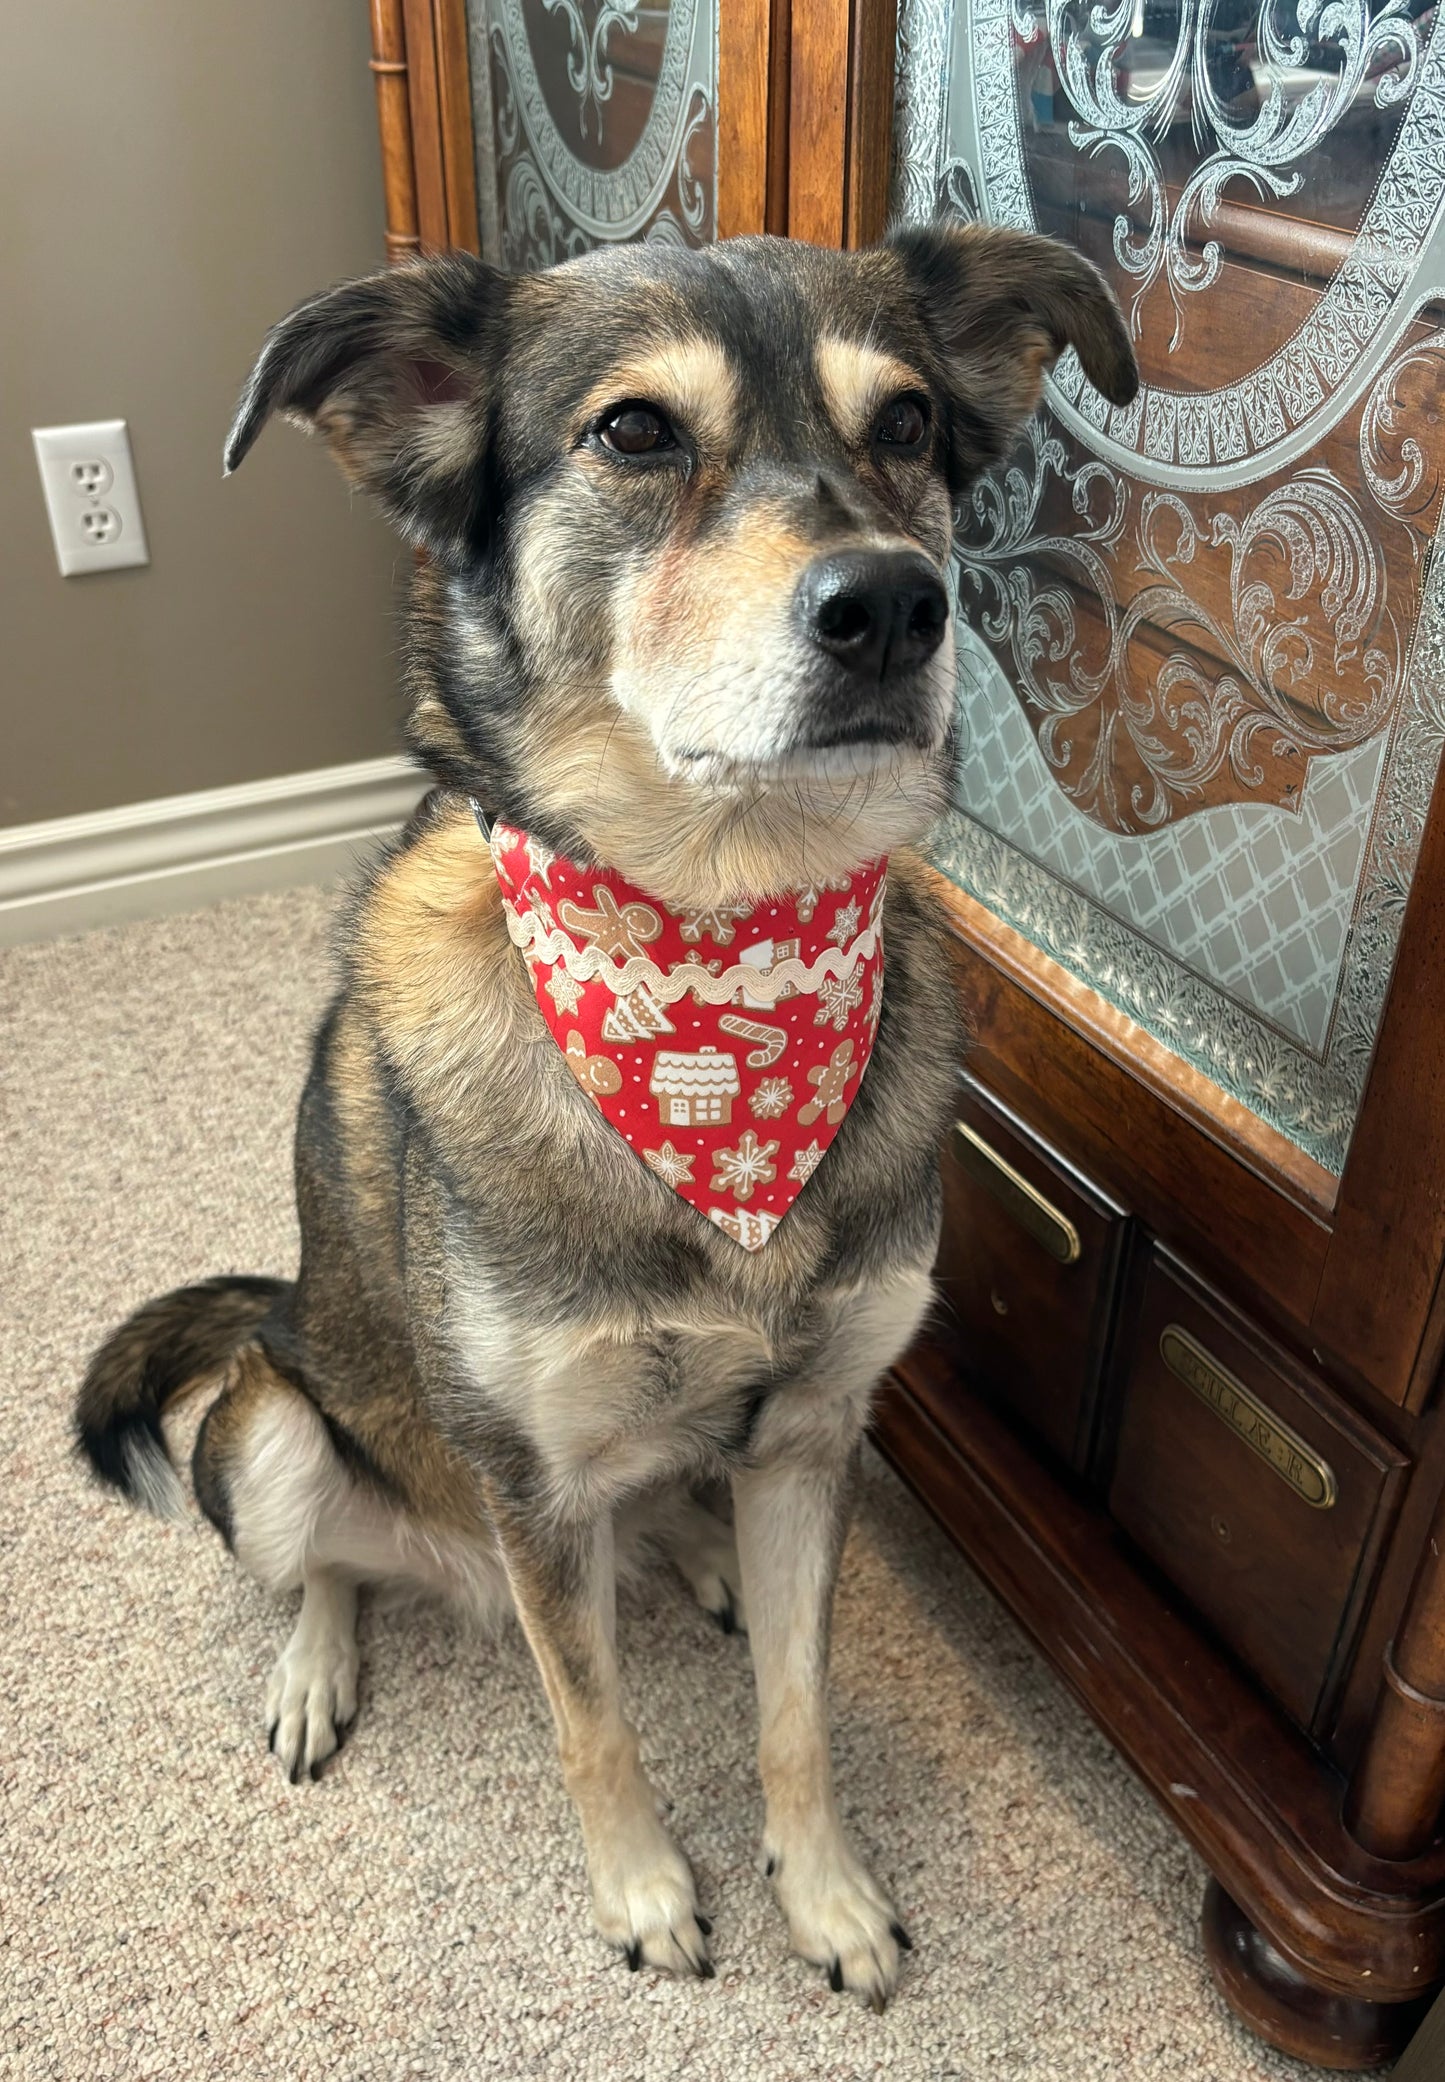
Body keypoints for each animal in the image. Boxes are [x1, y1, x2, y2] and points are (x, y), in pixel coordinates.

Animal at [76, 223, 1141, 1998]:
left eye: (908, 424)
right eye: (635, 432)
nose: (893, 606)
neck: (721, 952)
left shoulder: (816, 1433)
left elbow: (797, 1710)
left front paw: (823, 1891)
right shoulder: (528, 1475)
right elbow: (593, 1722)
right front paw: (645, 1888)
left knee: (655, 1515)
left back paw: (693, 1556)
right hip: (285, 1426)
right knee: (323, 1562)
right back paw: (316, 1667)